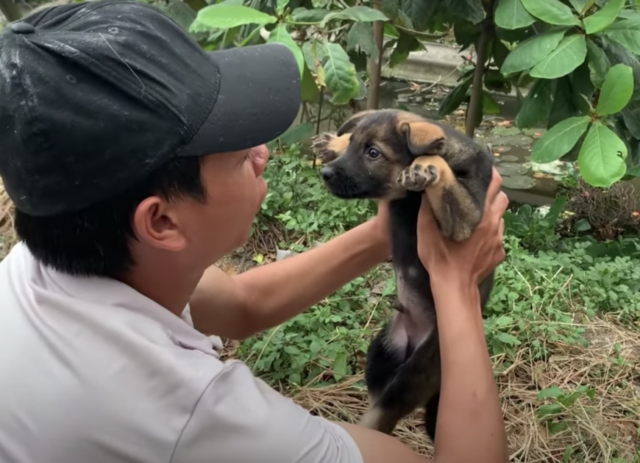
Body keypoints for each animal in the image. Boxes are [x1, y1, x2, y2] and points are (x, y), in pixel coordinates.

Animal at [310, 108, 496, 442]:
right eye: (356, 145)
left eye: (373, 153)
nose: (326, 174)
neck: (410, 198)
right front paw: (334, 142)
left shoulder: (467, 221)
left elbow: (440, 170)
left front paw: (425, 166)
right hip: (381, 351)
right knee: (377, 396)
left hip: (413, 376)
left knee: (384, 413)